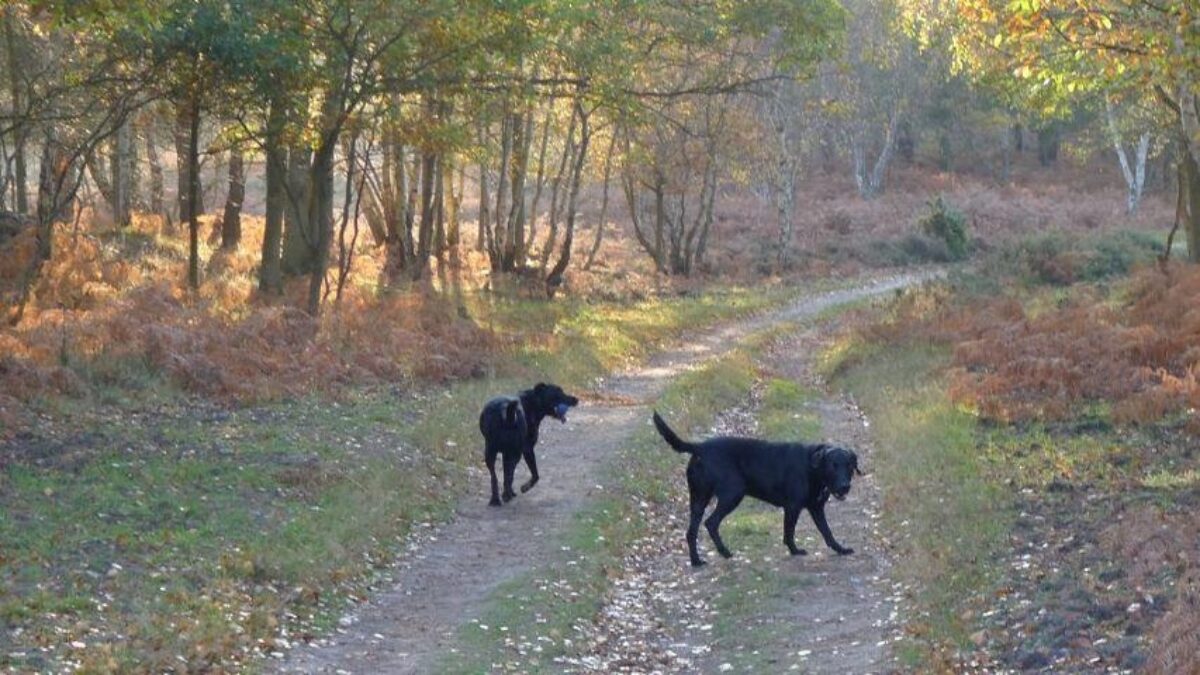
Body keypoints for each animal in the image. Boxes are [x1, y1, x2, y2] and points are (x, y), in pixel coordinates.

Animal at [652, 410, 859, 562]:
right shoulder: (792, 507)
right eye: (832, 466)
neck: (812, 467)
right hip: (732, 494)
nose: (844, 486)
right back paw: (724, 552)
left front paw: (840, 549)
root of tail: (700, 447)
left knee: (691, 531)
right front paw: (794, 550)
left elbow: (827, 532)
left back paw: (696, 561)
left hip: (698, 498)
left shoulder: (816, 508)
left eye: (849, 465)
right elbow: (789, 532)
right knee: (711, 523)